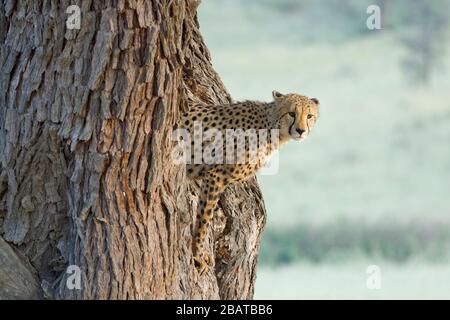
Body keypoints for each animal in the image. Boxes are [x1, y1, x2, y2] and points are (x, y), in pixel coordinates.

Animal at [178, 90, 318, 276]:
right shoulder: (216, 177)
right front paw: (197, 254)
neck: (271, 126)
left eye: (309, 115)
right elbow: (204, 218)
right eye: (292, 113)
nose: (301, 130)